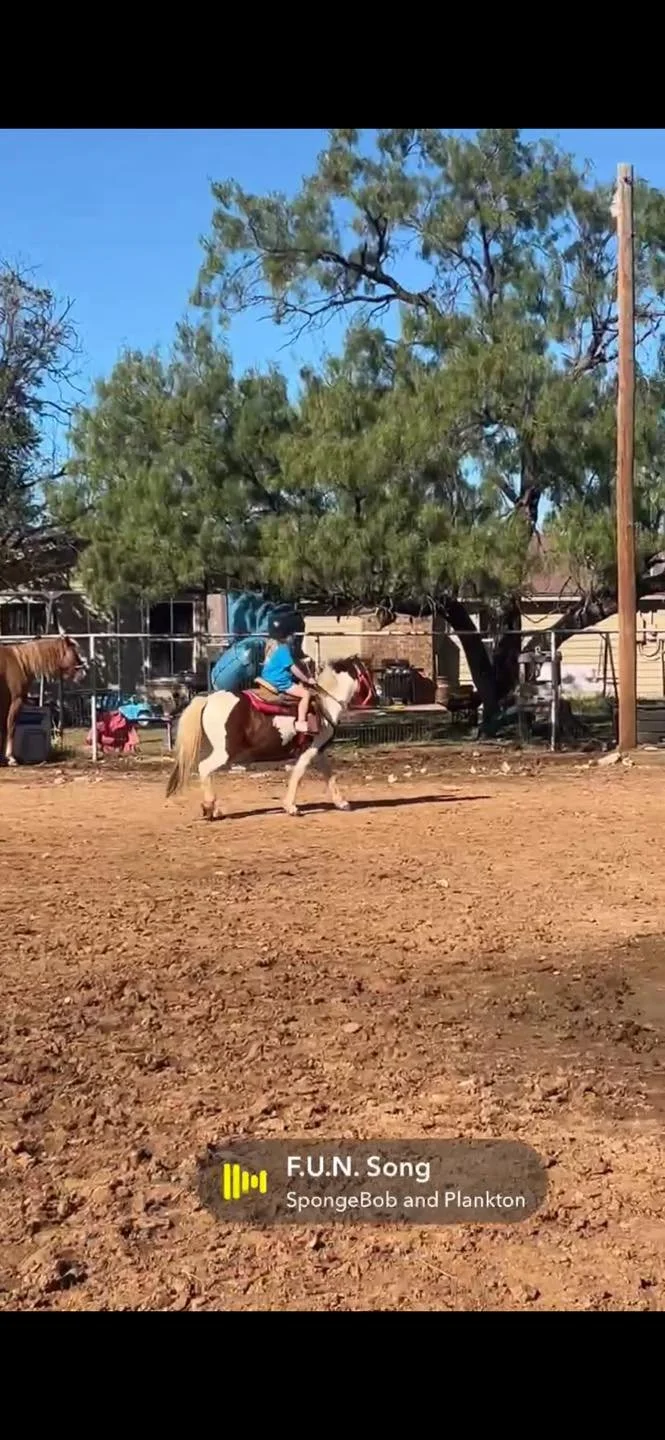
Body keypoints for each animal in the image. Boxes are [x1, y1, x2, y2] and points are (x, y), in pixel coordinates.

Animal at [0, 631, 87, 765]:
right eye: (74, 653)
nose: (82, 675)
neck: (20, 662)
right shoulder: (16, 701)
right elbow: (11, 727)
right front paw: (11, 758)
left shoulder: (6, 703)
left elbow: (4, 728)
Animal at [165, 657, 364, 820]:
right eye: (365, 673)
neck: (325, 704)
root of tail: (208, 700)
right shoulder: (310, 750)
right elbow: (298, 774)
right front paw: (291, 807)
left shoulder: (319, 751)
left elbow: (329, 775)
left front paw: (342, 803)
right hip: (225, 753)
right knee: (205, 768)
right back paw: (209, 808)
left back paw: (213, 809)